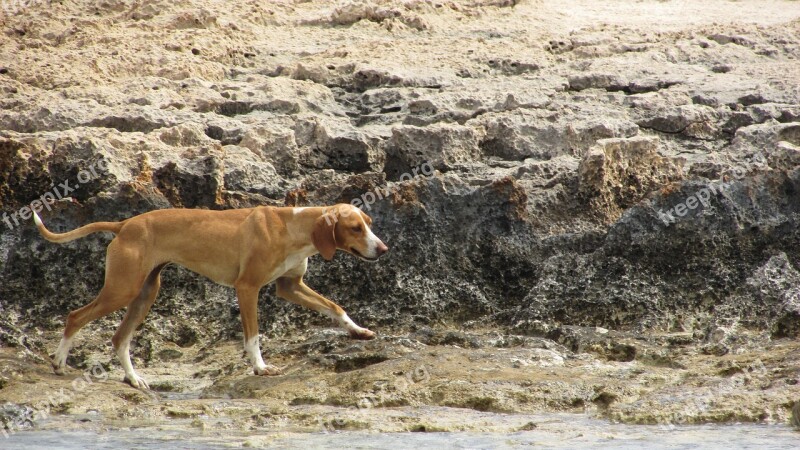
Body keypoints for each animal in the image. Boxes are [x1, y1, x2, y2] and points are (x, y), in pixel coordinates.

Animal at [32, 205, 390, 390]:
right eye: (355, 228)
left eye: (369, 224)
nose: (384, 249)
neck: (292, 226)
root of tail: (125, 224)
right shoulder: (247, 288)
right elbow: (253, 337)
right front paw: (260, 368)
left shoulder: (290, 286)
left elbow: (335, 306)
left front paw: (358, 331)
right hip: (122, 290)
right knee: (75, 316)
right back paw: (60, 363)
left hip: (145, 293)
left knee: (120, 338)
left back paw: (133, 379)